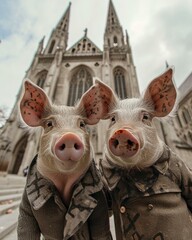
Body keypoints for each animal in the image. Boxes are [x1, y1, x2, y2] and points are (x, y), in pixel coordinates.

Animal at [16, 79, 112, 240]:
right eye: (49, 124)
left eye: (82, 124)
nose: (69, 136)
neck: (64, 182)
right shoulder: (26, 207)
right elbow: (25, 229)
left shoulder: (100, 206)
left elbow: (101, 231)